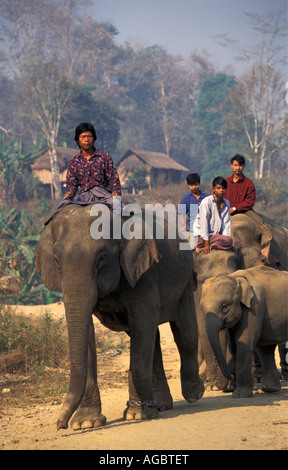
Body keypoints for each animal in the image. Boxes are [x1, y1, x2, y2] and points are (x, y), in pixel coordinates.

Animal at [35, 204, 204, 432]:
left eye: (101, 258)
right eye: (56, 261)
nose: (60, 425)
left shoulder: (142, 274)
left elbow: (142, 326)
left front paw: (137, 414)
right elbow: (89, 332)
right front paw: (85, 423)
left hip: (185, 280)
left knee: (184, 335)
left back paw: (194, 394)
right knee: (153, 339)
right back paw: (161, 405)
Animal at [200, 264, 288, 396]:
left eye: (225, 307)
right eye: (202, 309)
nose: (231, 376)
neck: (235, 278)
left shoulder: (254, 306)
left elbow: (243, 339)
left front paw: (240, 395)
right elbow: (234, 345)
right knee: (265, 348)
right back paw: (270, 389)